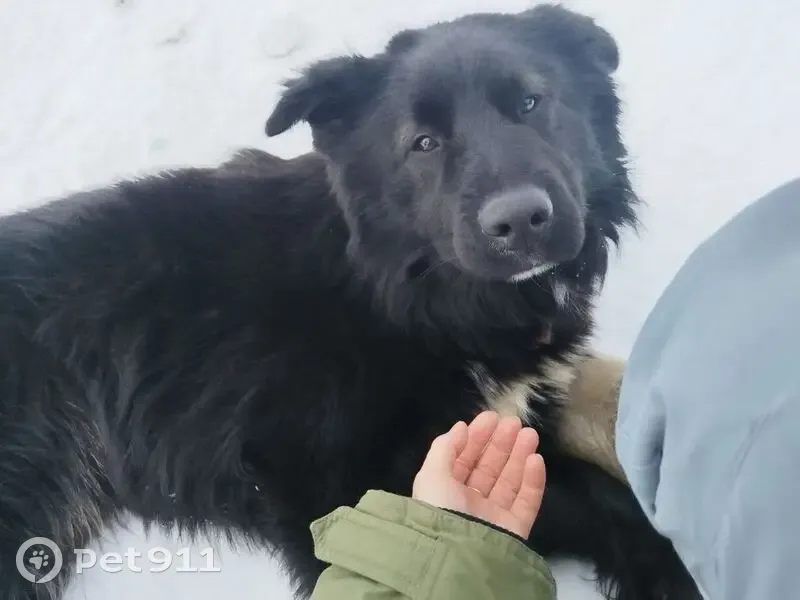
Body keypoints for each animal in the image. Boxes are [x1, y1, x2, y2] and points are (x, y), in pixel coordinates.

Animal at [0, 4, 699, 600]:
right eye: (423, 143)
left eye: (531, 101)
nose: (521, 222)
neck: (404, 291)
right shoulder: (349, 484)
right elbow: (583, 491)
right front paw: (670, 567)